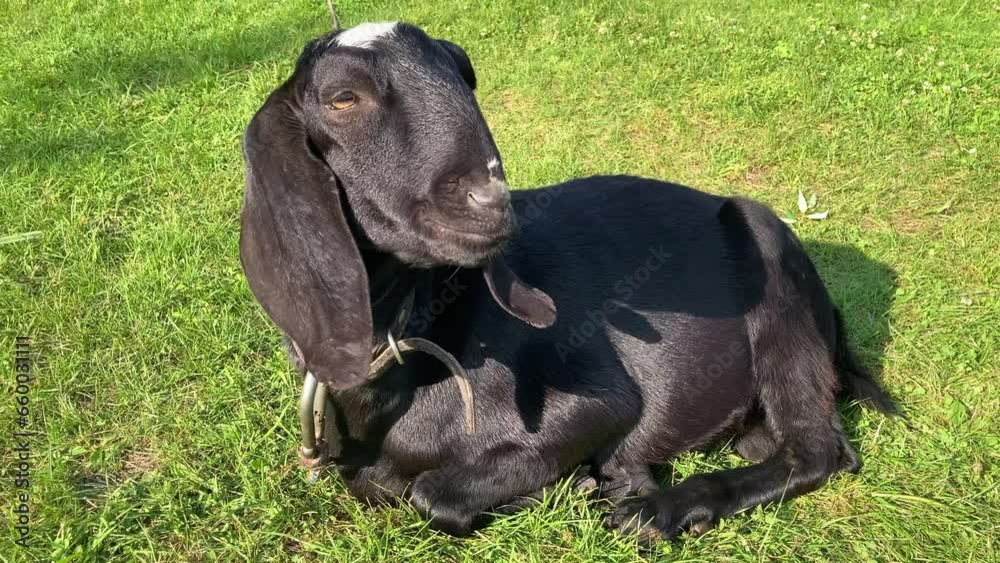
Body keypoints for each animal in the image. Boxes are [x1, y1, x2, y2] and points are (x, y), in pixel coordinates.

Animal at [239, 21, 896, 541]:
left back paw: (661, 509)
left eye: (463, 74)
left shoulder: (599, 403)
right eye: (342, 97)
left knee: (817, 449)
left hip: (773, 273)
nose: (491, 203)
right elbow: (382, 486)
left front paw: (587, 482)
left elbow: (432, 495)